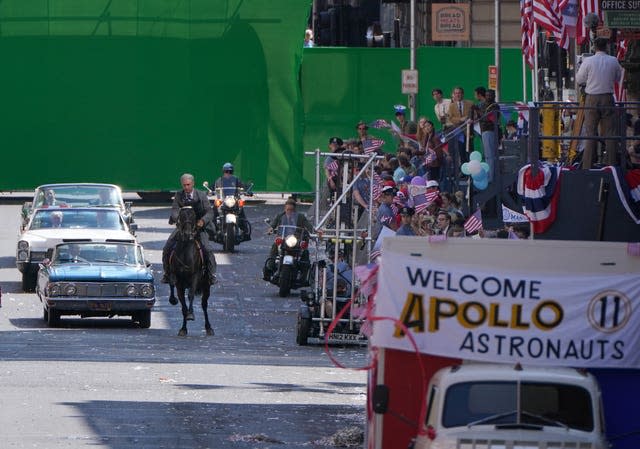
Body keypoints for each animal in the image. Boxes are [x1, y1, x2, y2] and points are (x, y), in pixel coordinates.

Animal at [166, 205, 214, 334]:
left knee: (204, 305)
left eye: (193, 216)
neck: (185, 252)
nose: (187, 234)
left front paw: (191, 314)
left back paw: (209, 327)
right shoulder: (178, 281)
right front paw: (183, 328)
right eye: (182, 216)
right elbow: (182, 304)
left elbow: (191, 295)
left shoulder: (195, 277)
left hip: (206, 286)